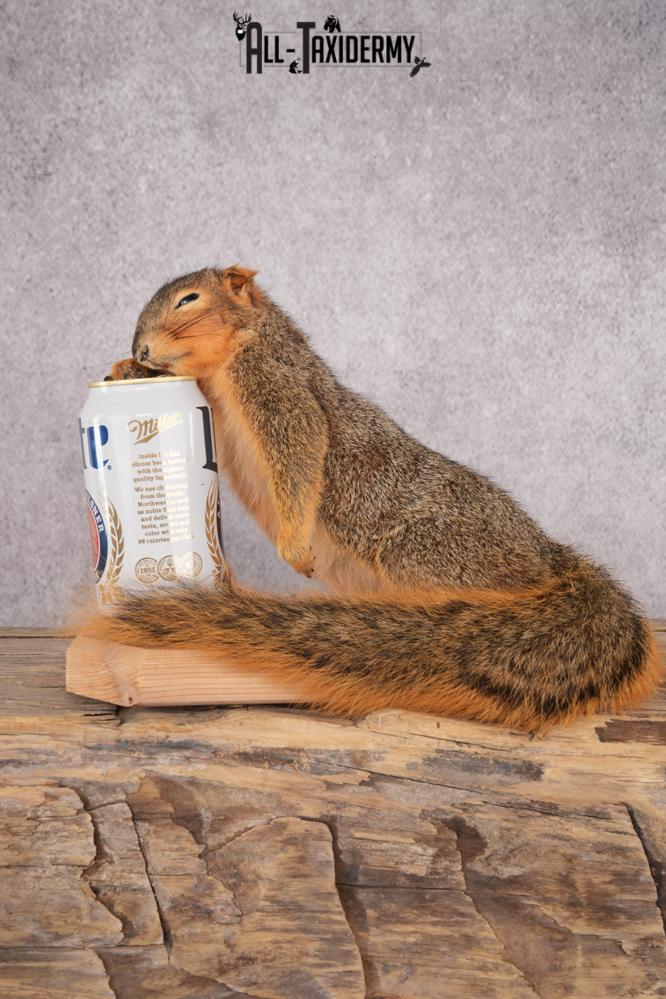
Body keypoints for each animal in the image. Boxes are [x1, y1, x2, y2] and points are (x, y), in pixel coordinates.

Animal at [88, 264, 661, 732]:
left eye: (189, 300)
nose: (140, 349)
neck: (244, 347)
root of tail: (548, 559)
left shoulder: (281, 392)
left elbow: (301, 453)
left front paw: (295, 549)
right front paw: (122, 371)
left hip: (426, 552)